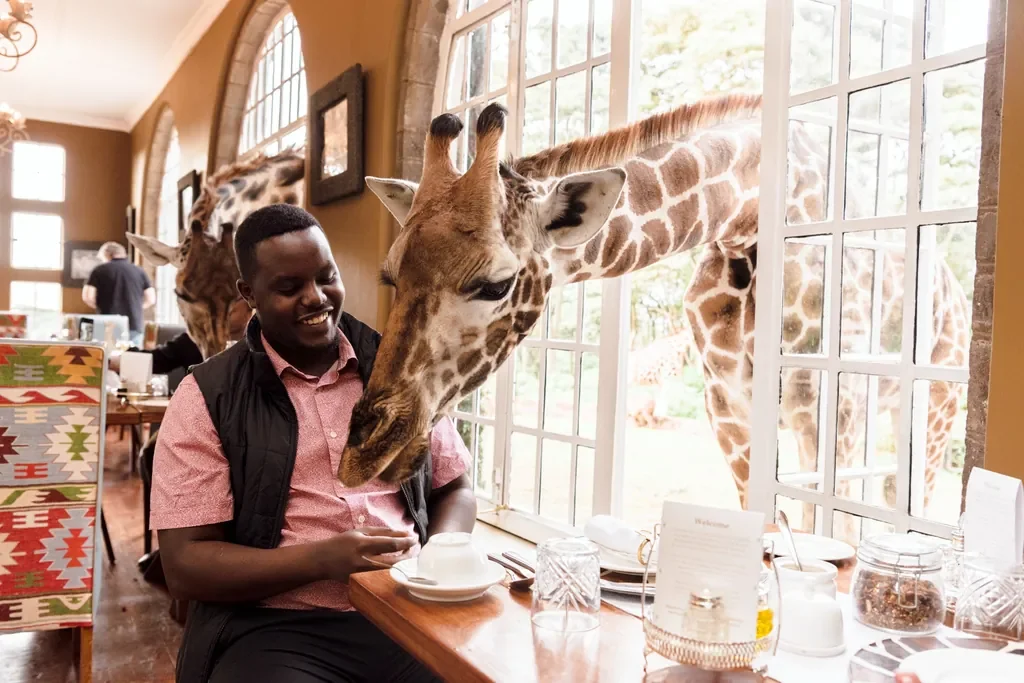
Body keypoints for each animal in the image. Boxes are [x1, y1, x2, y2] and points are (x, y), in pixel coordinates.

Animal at [333, 97, 968, 528]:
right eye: (390, 276)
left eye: (496, 284)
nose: (363, 454)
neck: (745, 216)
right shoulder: (727, 404)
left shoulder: (830, 413)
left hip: (933, 408)